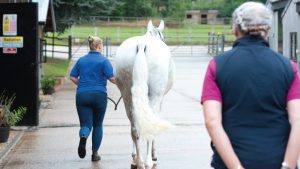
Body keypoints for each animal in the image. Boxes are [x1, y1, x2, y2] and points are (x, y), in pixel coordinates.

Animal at [115, 20, 176, 169]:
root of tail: (141, 45)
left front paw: (134, 155)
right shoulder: (159, 100)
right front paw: (153, 154)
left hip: (127, 96)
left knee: (134, 128)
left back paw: (139, 161)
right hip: (154, 97)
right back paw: (148, 161)